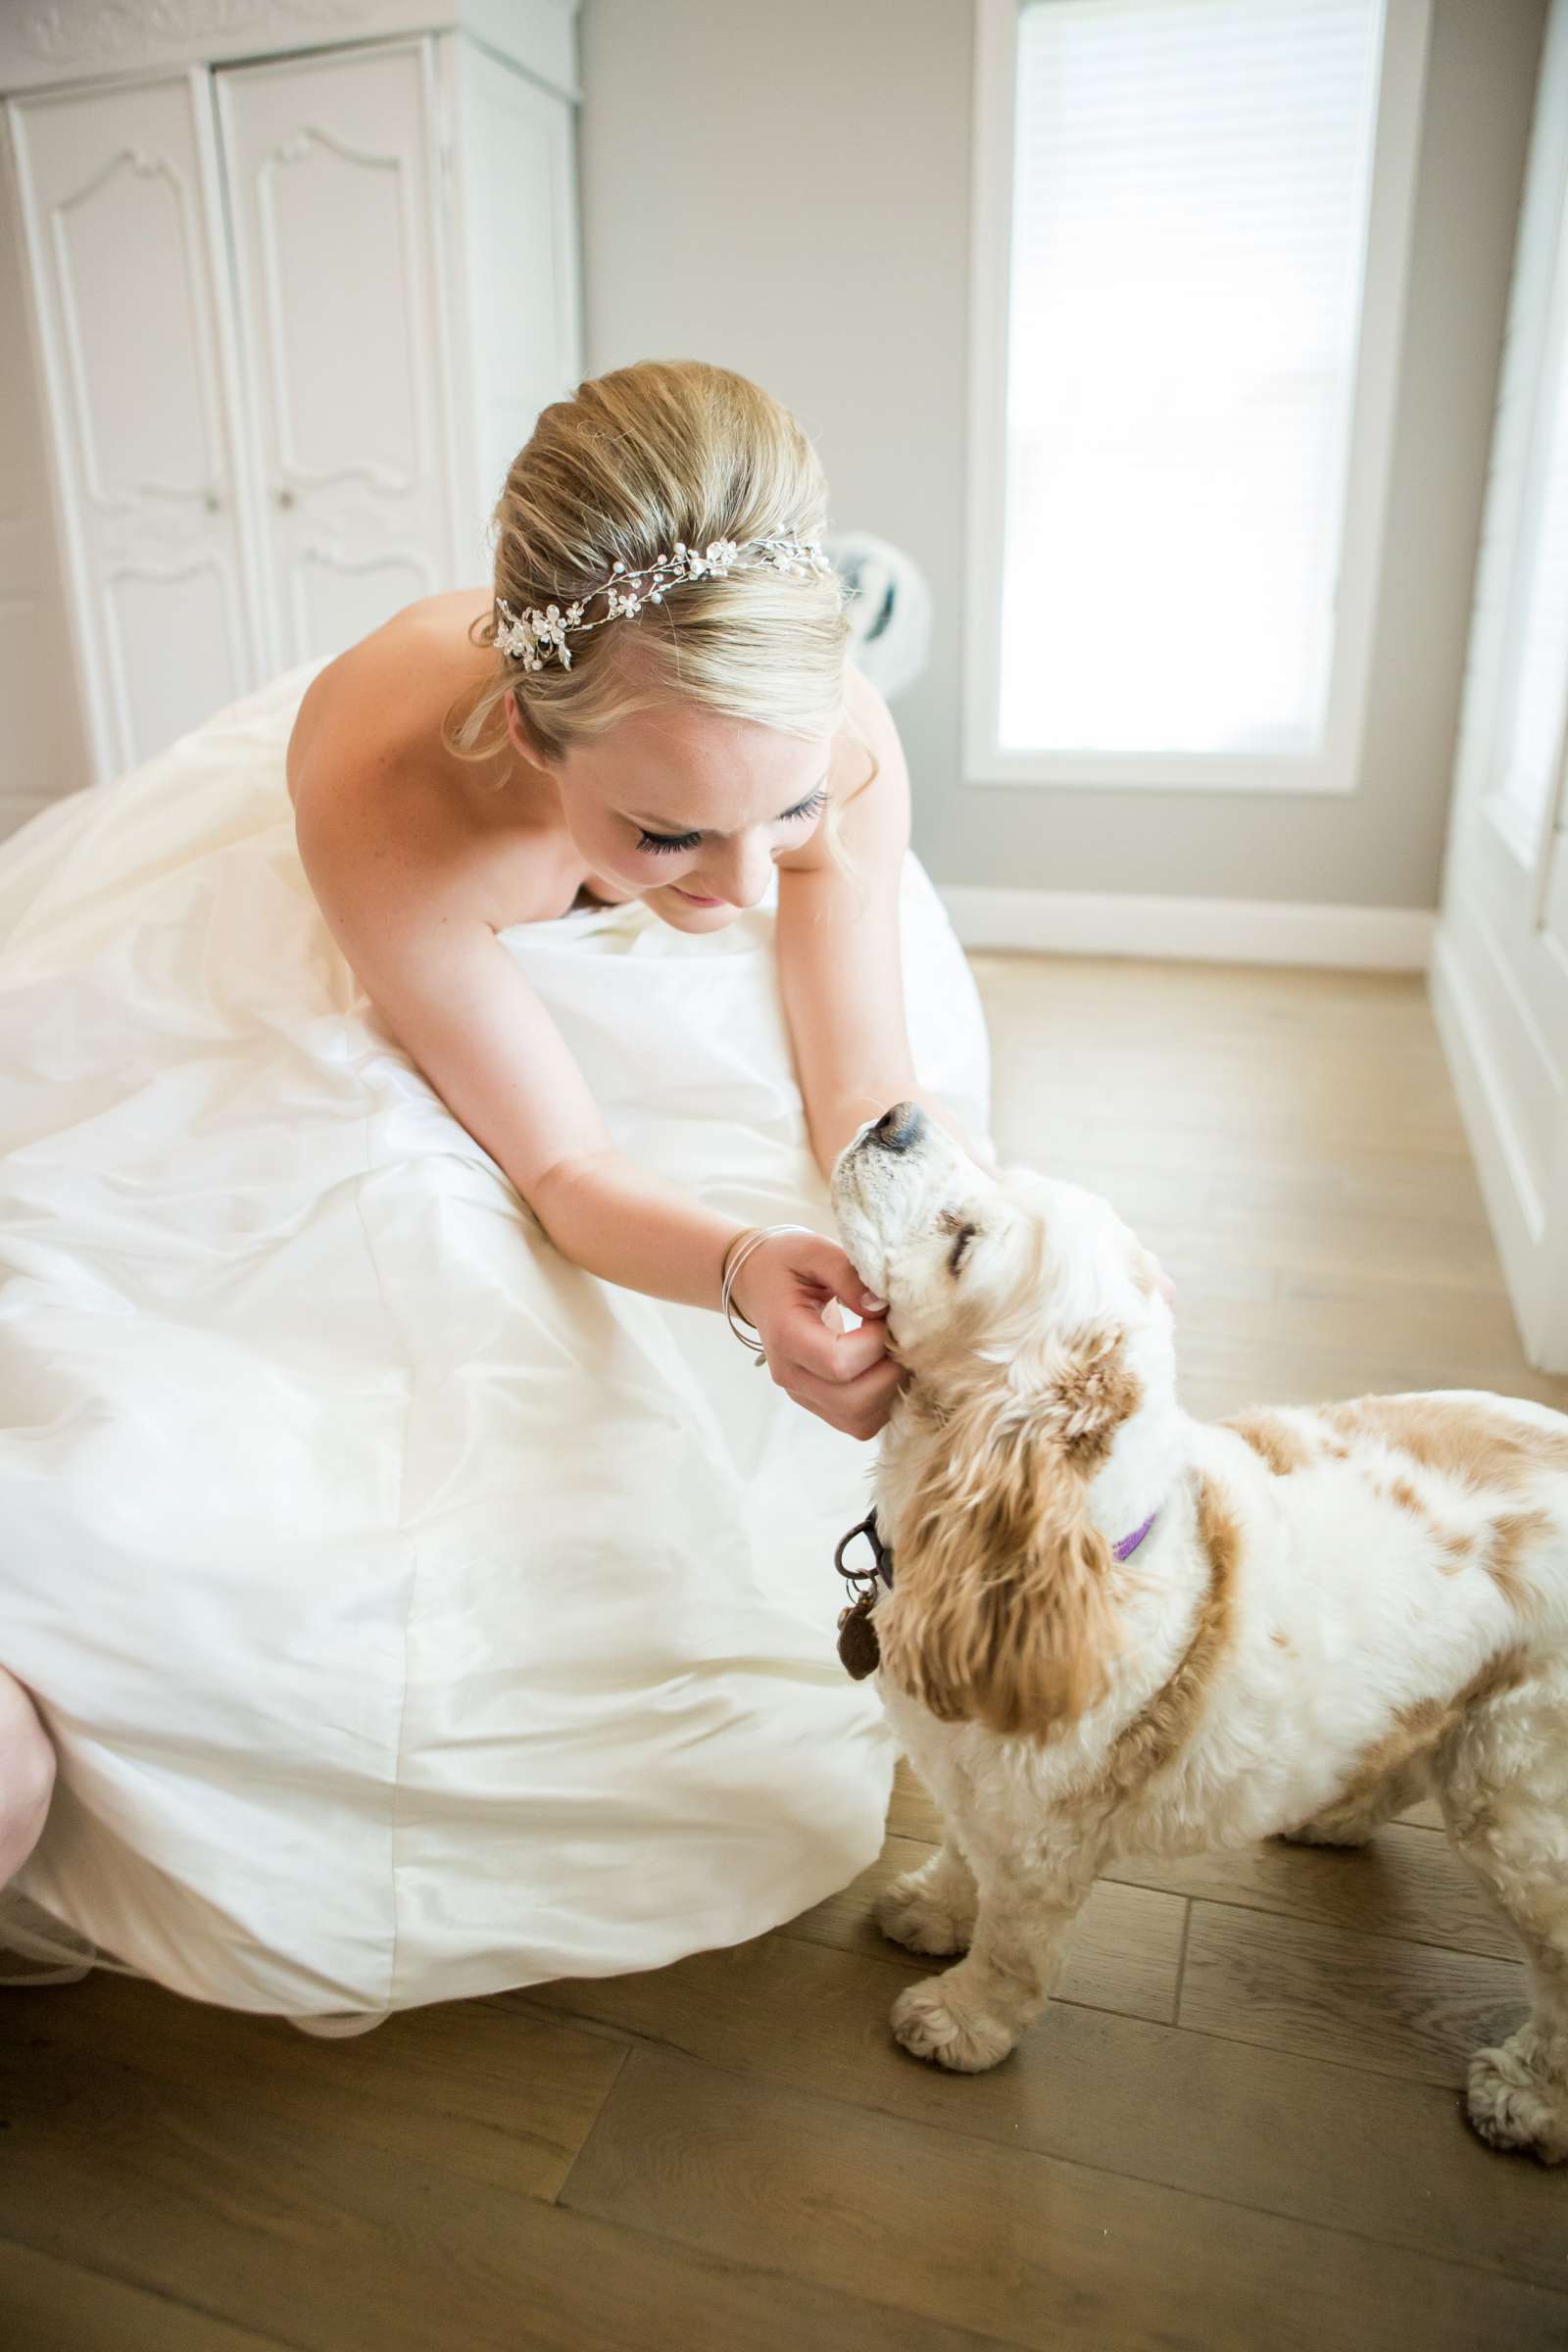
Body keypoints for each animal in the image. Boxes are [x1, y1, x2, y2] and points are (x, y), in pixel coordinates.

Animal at [827, 1105, 1568, 2164]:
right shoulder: (980, 1797)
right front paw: (929, 1909)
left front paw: (960, 2021)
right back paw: (1333, 1814)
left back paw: (1528, 2100)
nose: (898, 1116)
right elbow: (963, 1859)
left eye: (964, 1243)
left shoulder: (1043, 1839)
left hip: (1518, 1794)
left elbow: (1014, 1945)